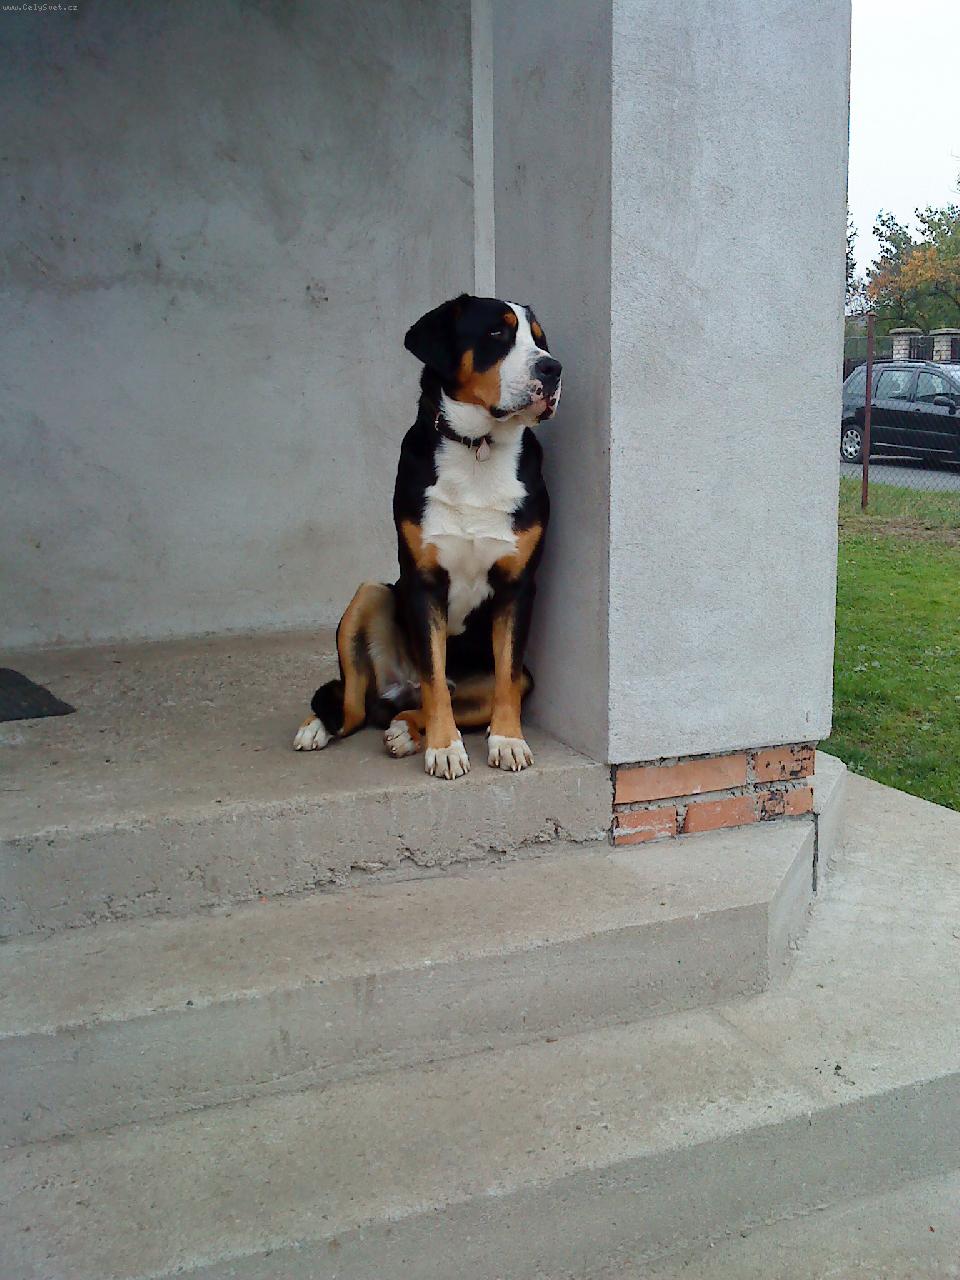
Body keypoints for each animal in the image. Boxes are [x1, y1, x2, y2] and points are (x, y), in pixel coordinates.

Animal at [293, 293, 562, 779]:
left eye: (540, 339)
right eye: (497, 332)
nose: (552, 368)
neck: (478, 450)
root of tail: (400, 688)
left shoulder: (518, 587)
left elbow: (507, 678)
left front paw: (508, 740)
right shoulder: (423, 583)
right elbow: (435, 677)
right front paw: (445, 748)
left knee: (414, 706)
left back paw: (405, 730)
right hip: (371, 593)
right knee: (354, 705)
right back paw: (318, 726)